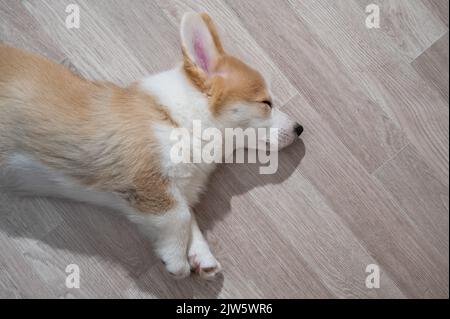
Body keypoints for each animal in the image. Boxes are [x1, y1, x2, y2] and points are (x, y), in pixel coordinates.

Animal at [0, 12, 302, 278]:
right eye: (266, 103)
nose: (300, 129)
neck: (178, 120)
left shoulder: (175, 190)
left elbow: (190, 218)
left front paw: (202, 257)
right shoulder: (147, 178)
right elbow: (180, 216)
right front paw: (177, 261)